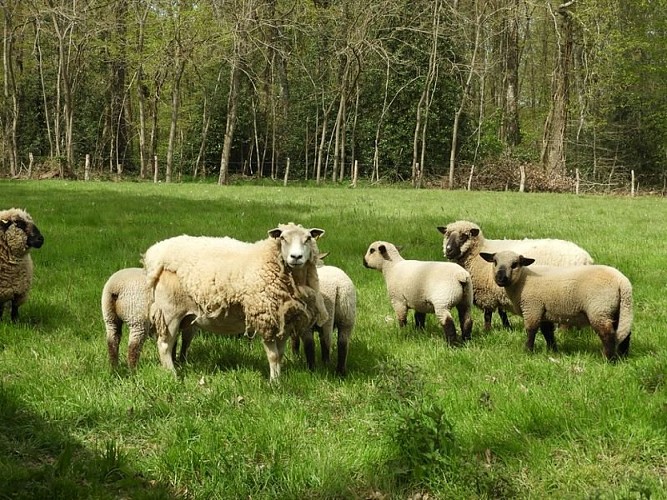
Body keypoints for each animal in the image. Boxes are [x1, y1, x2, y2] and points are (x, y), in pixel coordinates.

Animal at [144, 221, 328, 380]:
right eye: (282, 238)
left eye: (308, 238)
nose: (296, 257)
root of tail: (156, 255)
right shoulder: (264, 318)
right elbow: (274, 356)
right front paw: (274, 383)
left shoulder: (285, 321)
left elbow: (281, 354)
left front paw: (279, 377)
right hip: (170, 311)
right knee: (164, 344)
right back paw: (172, 375)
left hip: (185, 316)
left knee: (176, 341)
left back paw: (177, 365)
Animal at [438, 220, 596, 330]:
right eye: (447, 235)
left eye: (464, 236)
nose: (448, 250)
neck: (478, 252)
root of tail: (585, 259)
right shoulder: (498, 289)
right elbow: (502, 311)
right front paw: (507, 327)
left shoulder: (488, 293)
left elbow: (488, 314)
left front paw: (487, 330)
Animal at [480, 250, 632, 360]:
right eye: (495, 262)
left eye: (515, 264)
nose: (500, 278)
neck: (522, 281)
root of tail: (623, 282)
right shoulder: (543, 312)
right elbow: (547, 333)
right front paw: (552, 351)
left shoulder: (532, 308)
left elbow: (531, 331)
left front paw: (528, 351)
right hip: (616, 309)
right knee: (625, 332)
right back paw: (622, 356)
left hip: (599, 309)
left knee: (608, 334)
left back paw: (609, 359)